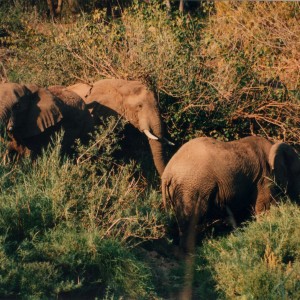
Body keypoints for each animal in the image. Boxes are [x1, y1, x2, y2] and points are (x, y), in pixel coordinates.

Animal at [162, 137, 300, 253]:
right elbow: (266, 209)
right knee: (192, 217)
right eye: (298, 173)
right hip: (192, 186)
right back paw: (189, 253)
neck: (273, 144)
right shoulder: (265, 178)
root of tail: (167, 173)